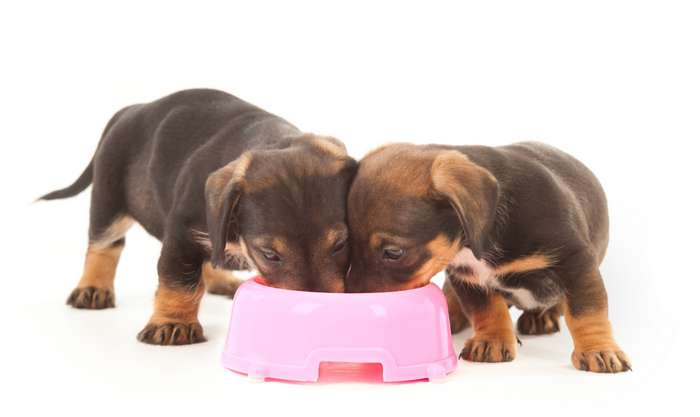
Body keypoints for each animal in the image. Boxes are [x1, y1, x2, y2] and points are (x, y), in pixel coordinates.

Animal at [39, 88, 356, 344]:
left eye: (341, 245)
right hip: (108, 202)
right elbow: (179, 280)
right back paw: (93, 288)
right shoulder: (184, 235)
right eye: (269, 254)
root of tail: (130, 110)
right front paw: (172, 324)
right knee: (104, 245)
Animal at [348, 141, 632, 372]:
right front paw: (492, 341)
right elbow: (488, 311)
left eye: (393, 252)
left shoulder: (575, 262)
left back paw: (542, 317)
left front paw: (599, 350)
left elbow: (587, 312)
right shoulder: (467, 277)